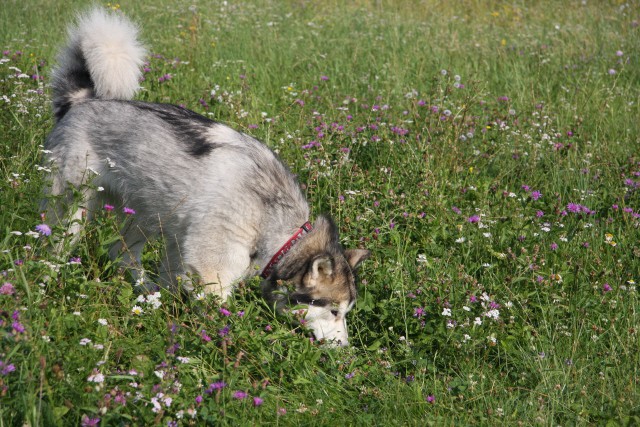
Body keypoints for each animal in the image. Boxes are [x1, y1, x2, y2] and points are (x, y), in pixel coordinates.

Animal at [42, 7, 368, 348]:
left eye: (345, 312)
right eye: (333, 311)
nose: (345, 349)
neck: (274, 226)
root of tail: (81, 101)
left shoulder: (181, 253)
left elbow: (170, 284)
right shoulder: (211, 270)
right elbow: (221, 318)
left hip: (147, 217)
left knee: (121, 254)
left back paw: (144, 294)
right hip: (72, 210)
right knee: (54, 248)